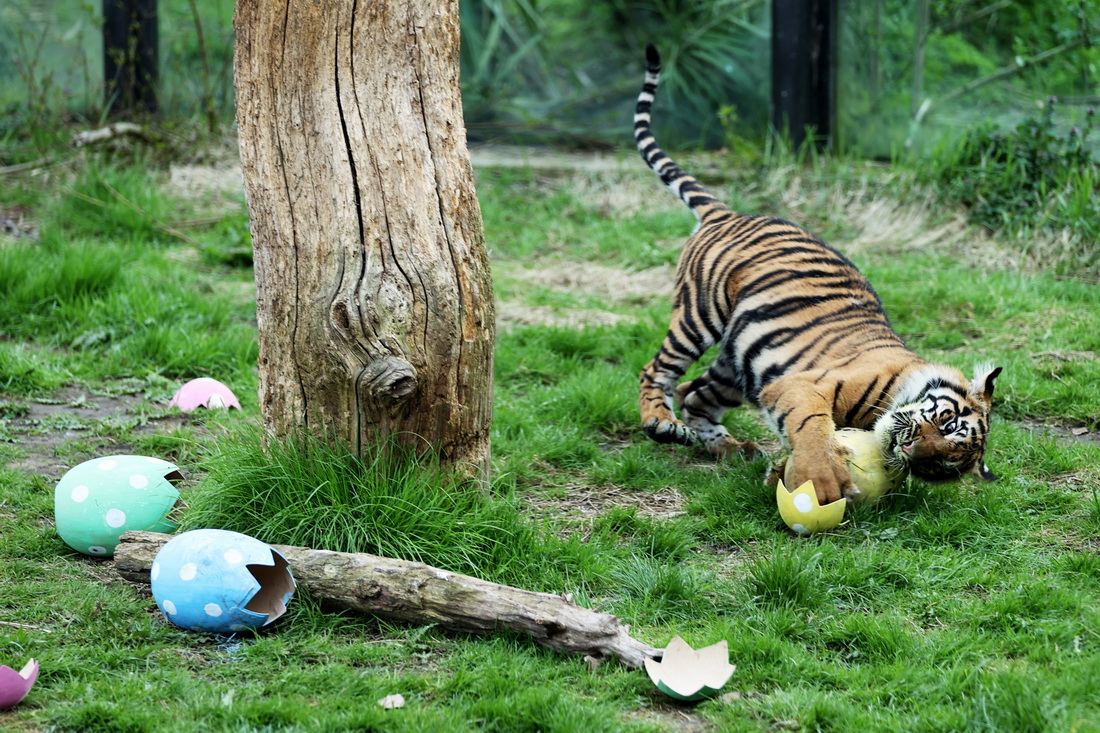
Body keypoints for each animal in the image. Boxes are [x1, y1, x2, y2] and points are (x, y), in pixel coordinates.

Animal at [633, 44, 1003, 501]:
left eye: (938, 465)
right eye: (948, 425)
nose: (910, 450)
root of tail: (729, 212)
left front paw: (781, 472)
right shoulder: (802, 385)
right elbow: (811, 426)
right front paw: (820, 482)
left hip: (739, 363)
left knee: (696, 395)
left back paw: (731, 449)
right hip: (699, 316)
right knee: (658, 372)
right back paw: (661, 424)